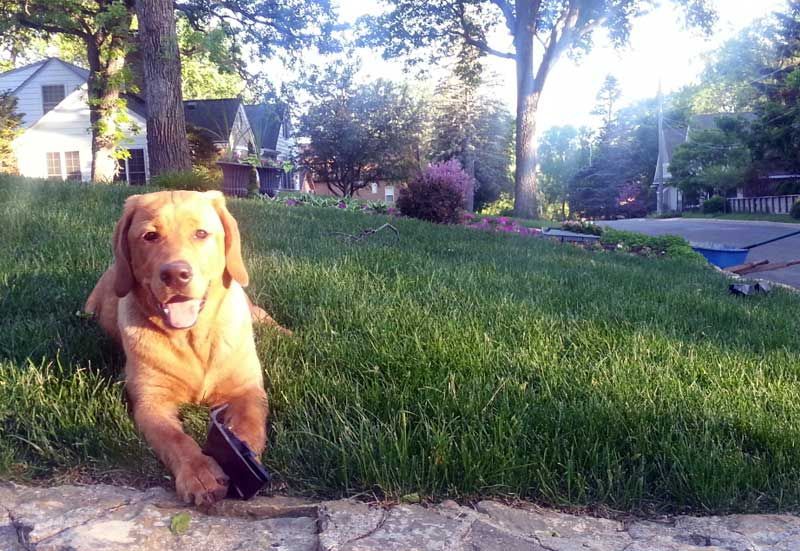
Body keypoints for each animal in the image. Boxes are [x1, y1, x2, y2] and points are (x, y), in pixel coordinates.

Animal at [83, 192, 282, 506]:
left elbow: (249, 427)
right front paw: (200, 473)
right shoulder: (151, 402)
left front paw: (242, 459)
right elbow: (176, 439)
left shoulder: (248, 390)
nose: (176, 274)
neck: (193, 338)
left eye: (201, 233)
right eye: (150, 236)